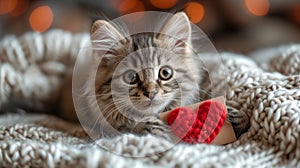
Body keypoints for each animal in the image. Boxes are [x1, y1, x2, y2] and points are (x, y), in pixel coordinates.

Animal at [62, 12, 250, 140]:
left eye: (165, 73)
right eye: (131, 77)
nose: (150, 92)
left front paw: (234, 115)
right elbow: (128, 127)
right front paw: (149, 126)